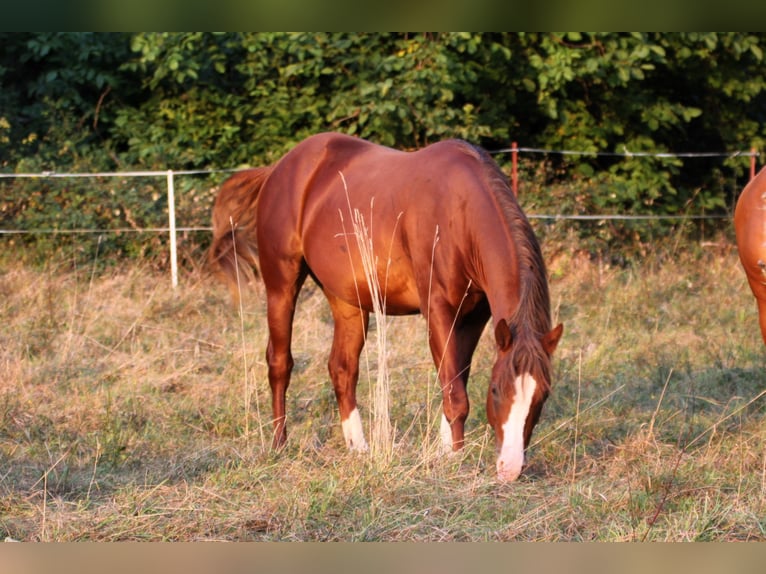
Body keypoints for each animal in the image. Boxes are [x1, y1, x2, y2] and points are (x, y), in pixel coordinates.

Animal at [210, 133, 564, 484]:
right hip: (281, 285)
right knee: (280, 362)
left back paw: (359, 447)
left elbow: (456, 381)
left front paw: (443, 452)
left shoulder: (474, 318)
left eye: (543, 396)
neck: (460, 213)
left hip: (347, 300)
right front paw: (454, 461)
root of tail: (278, 169)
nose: (510, 468)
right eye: (495, 390)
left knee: (342, 368)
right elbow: (455, 394)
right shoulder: (438, 310)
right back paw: (280, 444)